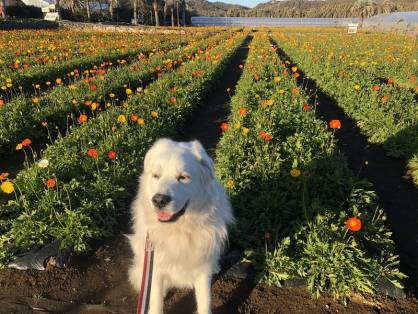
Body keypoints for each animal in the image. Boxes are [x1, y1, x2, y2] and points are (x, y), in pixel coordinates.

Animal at [127, 139, 233, 312]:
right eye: (156, 175)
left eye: (183, 177)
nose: (159, 200)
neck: (180, 230)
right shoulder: (155, 268)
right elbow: (156, 303)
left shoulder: (202, 267)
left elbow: (204, 300)